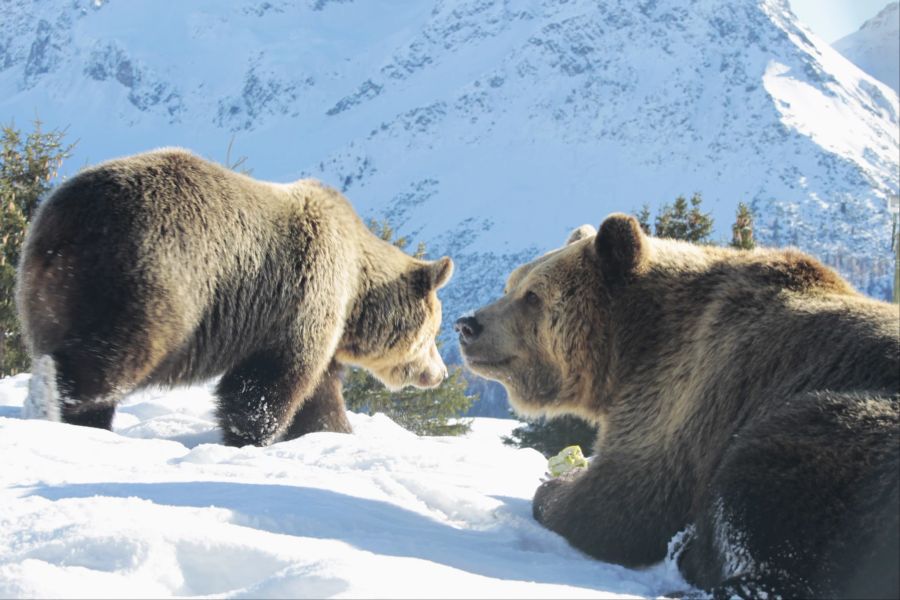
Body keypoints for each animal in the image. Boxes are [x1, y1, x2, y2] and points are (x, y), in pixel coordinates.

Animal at [19, 146, 458, 446]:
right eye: (433, 333)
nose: (440, 373)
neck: (354, 294)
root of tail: (66, 218)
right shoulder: (298, 300)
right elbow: (265, 385)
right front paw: (252, 437)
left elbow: (319, 393)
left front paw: (331, 431)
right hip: (152, 276)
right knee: (111, 358)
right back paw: (66, 406)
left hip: (46, 290)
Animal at [458, 213, 900, 596]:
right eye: (511, 284)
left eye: (533, 295)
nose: (468, 325)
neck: (626, 350)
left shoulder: (685, 395)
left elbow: (623, 501)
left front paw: (554, 486)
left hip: (846, 430)